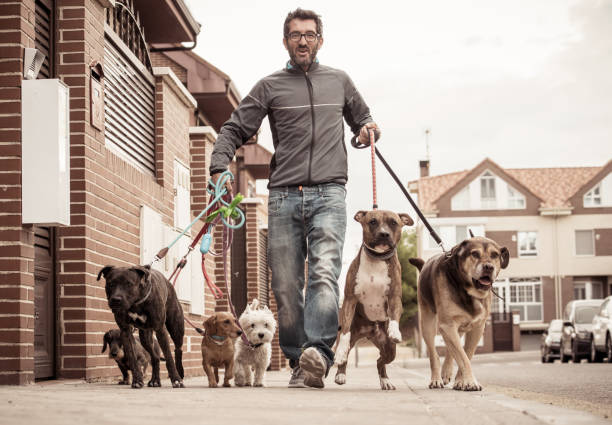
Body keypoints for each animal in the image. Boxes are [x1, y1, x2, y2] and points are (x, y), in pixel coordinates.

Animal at [334, 210, 416, 390]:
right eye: (372, 222)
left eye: (393, 222)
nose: (384, 234)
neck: (377, 259)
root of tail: (371, 331)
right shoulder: (350, 299)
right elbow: (344, 333)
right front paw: (340, 352)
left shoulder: (394, 297)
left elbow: (394, 315)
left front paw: (395, 330)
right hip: (355, 336)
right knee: (348, 354)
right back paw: (340, 374)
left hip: (390, 349)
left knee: (380, 360)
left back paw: (385, 380)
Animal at [412, 235, 512, 390]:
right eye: (474, 254)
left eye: (495, 255)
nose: (489, 267)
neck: (468, 291)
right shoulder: (447, 325)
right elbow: (462, 356)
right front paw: (470, 381)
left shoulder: (477, 328)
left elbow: (466, 354)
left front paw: (461, 381)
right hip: (428, 323)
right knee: (434, 354)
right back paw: (436, 379)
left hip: (459, 328)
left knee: (451, 348)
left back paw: (446, 372)